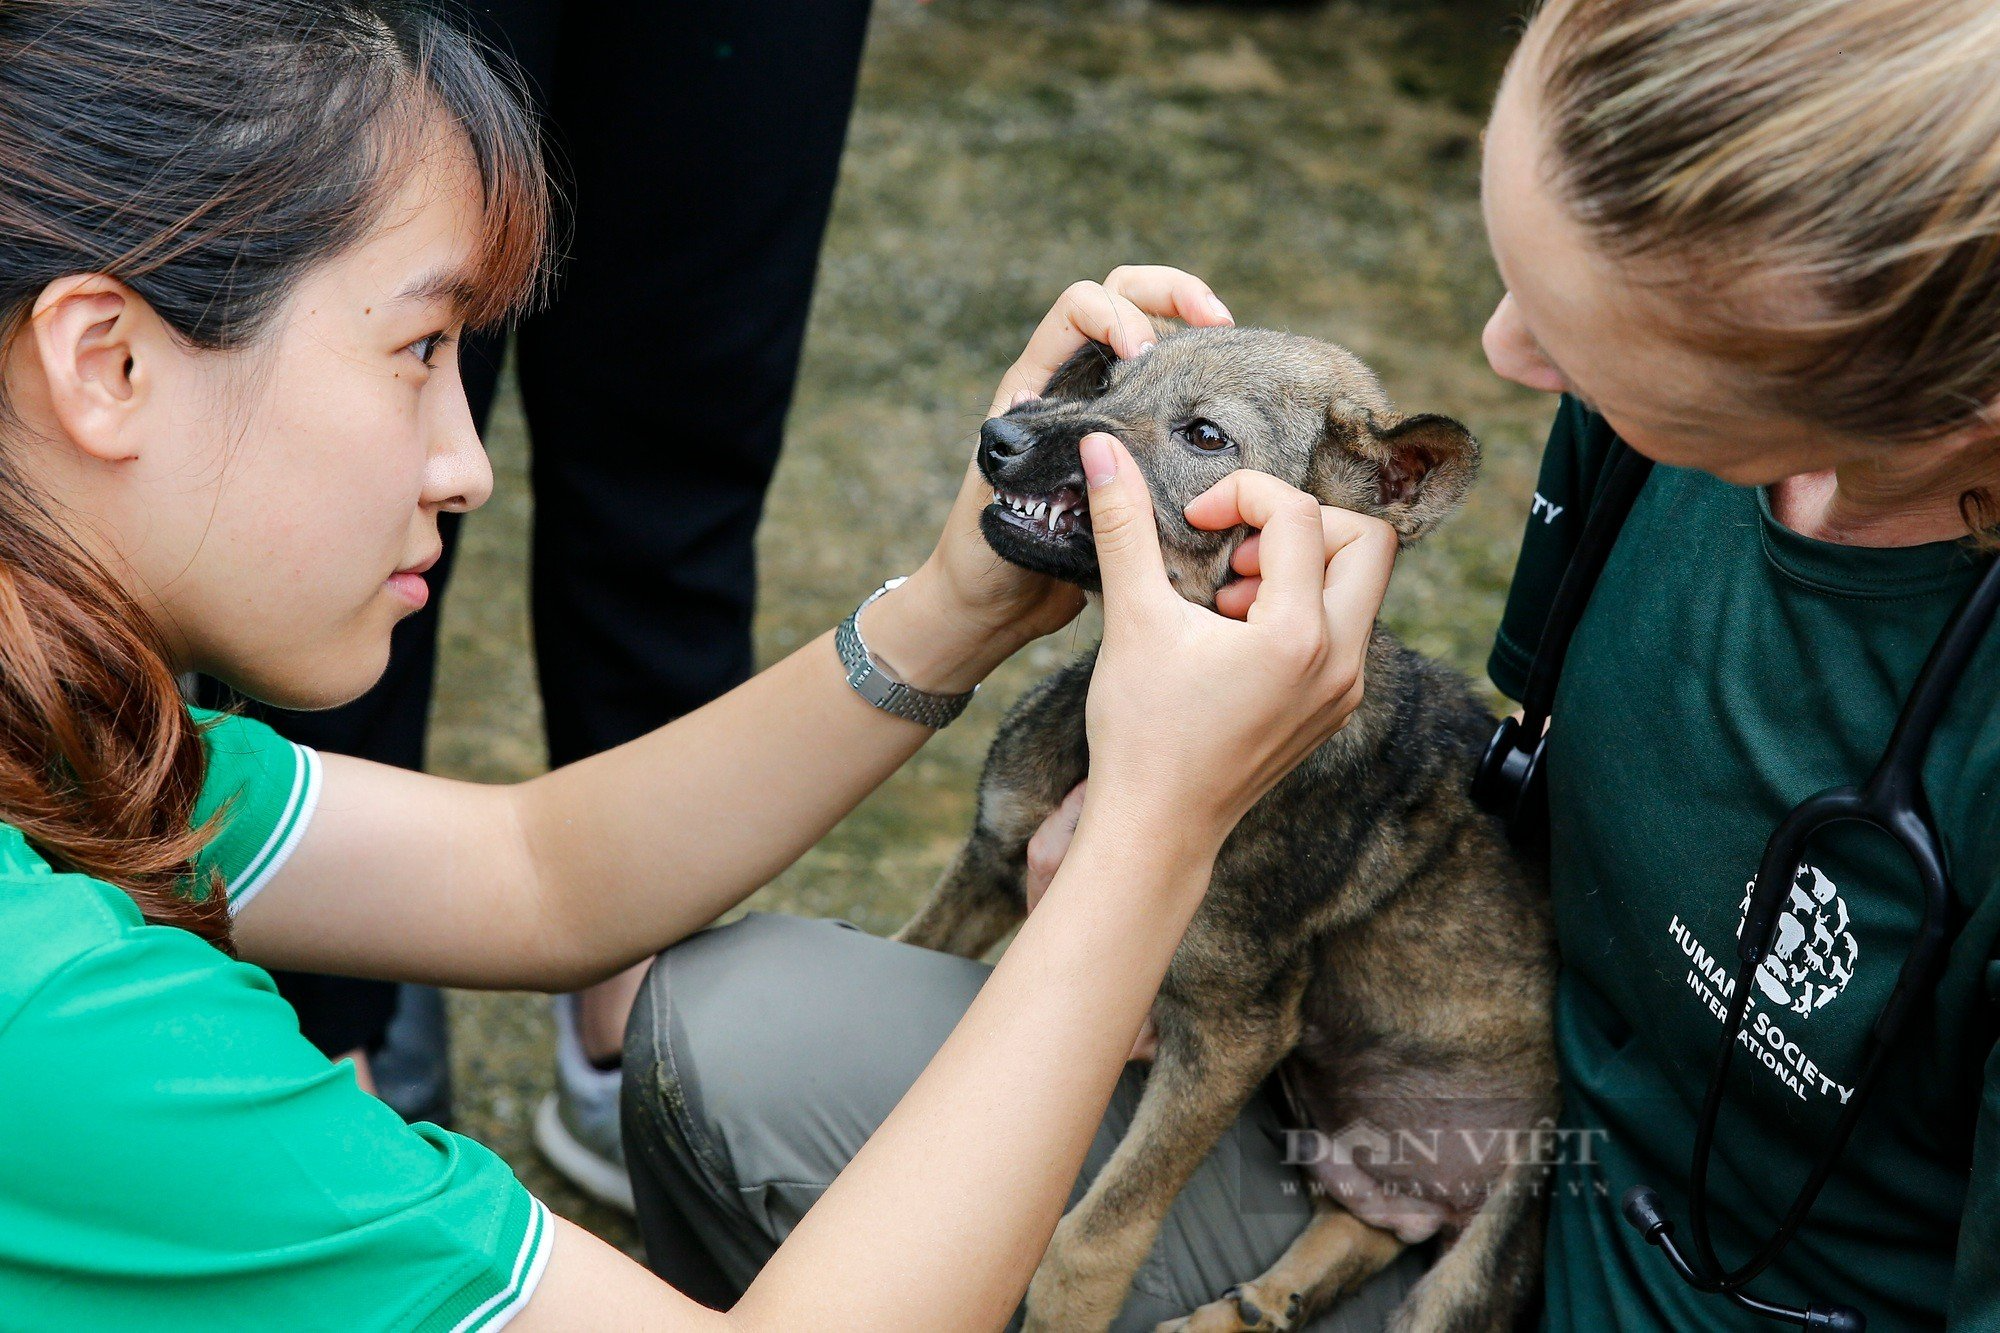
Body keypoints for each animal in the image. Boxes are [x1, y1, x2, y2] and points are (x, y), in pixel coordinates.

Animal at [896, 324, 1560, 1328]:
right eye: (1108, 377)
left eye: (1205, 435)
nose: (999, 434)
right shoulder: (991, 859)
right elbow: (910, 940)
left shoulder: (1231, 1027)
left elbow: (1090, 1241)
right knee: (1355, 1228)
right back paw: (1251, 1305)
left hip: (1484, 1256)